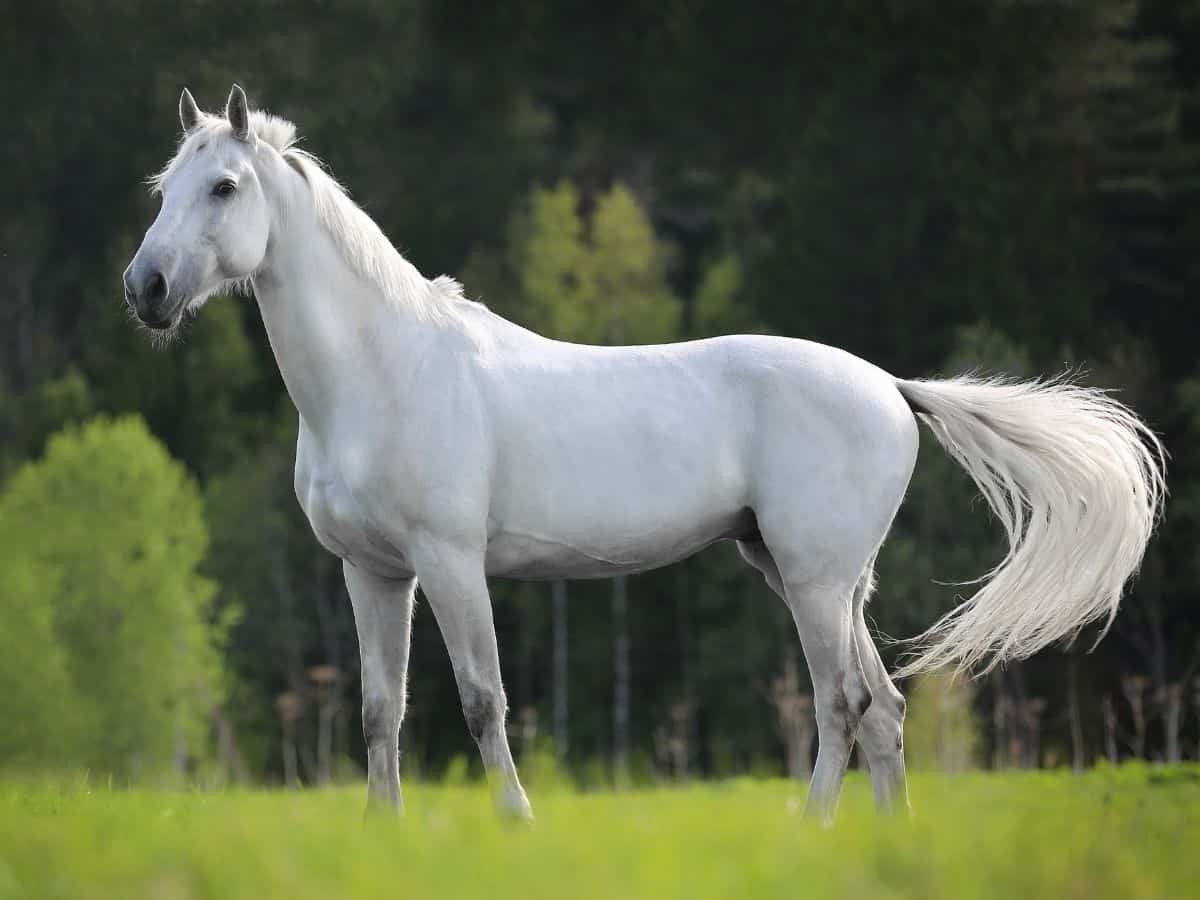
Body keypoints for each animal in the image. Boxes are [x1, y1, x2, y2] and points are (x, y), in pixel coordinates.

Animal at [124, 86, 1161, 825]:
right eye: (164, 190)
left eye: (224, 187)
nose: (148, 288)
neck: (383, 372)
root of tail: (892, 387)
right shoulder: (373, 573)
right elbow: (386, 711)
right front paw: (384, 832)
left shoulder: (450, 564)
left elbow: (484, 701)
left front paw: (517, 823)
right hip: (808, 574)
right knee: (884, 710)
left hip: (816, 580)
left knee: (840, 704)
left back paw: (813, 828)